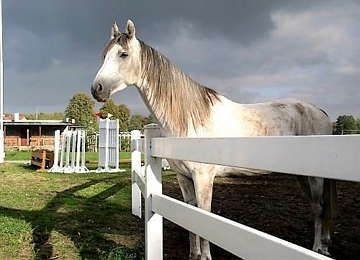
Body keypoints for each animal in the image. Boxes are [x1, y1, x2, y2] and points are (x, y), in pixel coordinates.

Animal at [91, 20, 336, 260]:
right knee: (317, 206)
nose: (97, 89)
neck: (190, 120)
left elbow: (204, 215)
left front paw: (205, 256)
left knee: (319, 207)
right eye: (103, 55)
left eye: (123, 54)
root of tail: (321, 113)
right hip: (302, 175)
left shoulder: (204, 178)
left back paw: (318, 248)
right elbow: (191, 213)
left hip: (315, 177)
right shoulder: (184, 178)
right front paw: (194, 254)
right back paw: (324, 244)